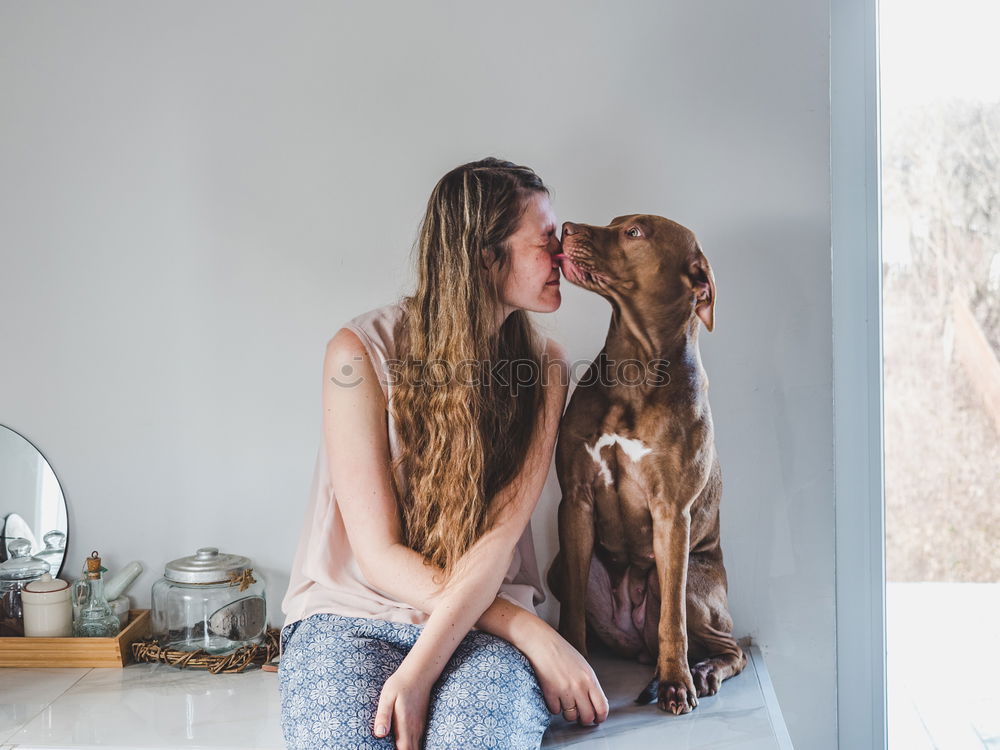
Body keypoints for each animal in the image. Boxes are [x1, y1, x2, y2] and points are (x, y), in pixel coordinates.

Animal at [544, 216, 748, 716]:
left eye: (634, 232)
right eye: (615, 222)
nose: (566, 226)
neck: (634, 365)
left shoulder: (671, 514)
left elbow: (671, 620)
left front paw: (676, 683)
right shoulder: (575, 500)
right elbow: (572, 609)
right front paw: (574, 664)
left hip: (694, 584)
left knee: (729, 646)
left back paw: (703, 671)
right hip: (559, 565)